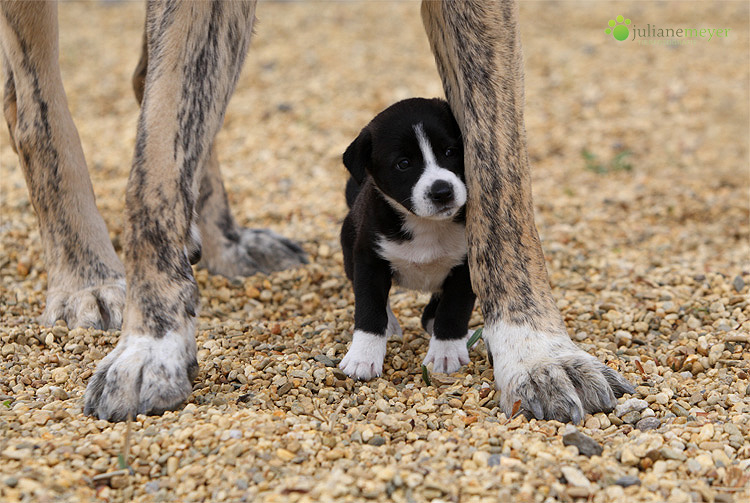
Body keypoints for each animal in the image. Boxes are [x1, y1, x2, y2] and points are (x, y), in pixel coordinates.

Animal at [340, 97, 476, 382]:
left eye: (450, 151)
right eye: (403, 163)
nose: (442, 191)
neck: (426, 225)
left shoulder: (467, 267)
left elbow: (453, 309)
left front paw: (445, 352)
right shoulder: (369, 259)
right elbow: (369, 308)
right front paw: (362, 358)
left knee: (431, 314)